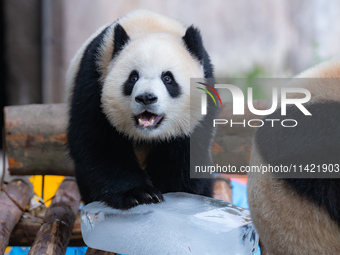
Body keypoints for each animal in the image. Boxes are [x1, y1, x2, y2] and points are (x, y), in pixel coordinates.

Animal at [65, 9, 216, 209]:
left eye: (167, 78)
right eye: (133, 77)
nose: (146, 98)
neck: (150, 26)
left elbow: (187, 152)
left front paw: (174, 191)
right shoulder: (94, 77)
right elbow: (97, 141)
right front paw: (141, 194)